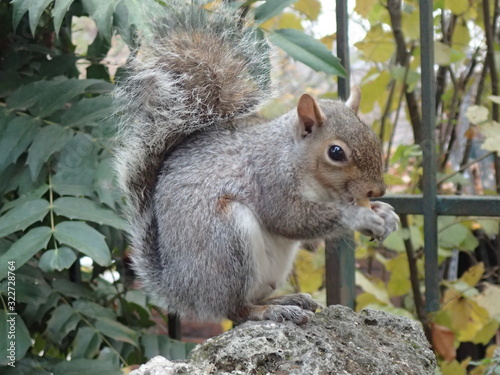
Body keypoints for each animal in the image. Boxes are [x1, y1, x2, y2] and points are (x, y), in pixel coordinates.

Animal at [114, 0, 398, 326]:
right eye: (336, 152)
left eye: (372, 136)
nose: (377, 191)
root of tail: (181, 288)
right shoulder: (268, 176)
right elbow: (289, 218)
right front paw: (359, 216)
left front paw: (386, 214)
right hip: (227, 242)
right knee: (236, 309)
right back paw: (268, 310)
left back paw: (285, 300)